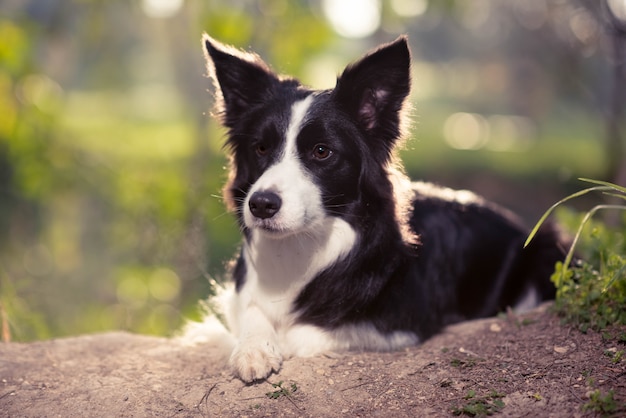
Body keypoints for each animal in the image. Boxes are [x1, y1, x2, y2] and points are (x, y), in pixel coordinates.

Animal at [202, 36, 564, 382]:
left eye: (321, 151)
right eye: (261, 148)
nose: (261, 205)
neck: (306, 246)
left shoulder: (399, 323)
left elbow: (305, 333)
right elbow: (251, 310)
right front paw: (253, 348)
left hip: (545, 247)